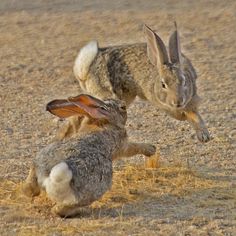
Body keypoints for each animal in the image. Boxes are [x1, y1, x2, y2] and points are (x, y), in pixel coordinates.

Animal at [21, 93, 155, 217]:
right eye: (123, 107)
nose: (123, 104)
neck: (102, 122)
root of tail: (49, 176)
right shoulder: (122, 145)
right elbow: (133, 147)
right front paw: (151, 149)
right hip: (92, 192)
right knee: (60, 210)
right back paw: (82, 210)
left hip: (37, 163)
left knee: (29, 190)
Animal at [67, 23, 209, 143]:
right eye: (163, 84)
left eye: (184, 81)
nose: (178, 101)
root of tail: (84, 71)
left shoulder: (191, 101)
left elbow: (195, 116)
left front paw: (204, 136)